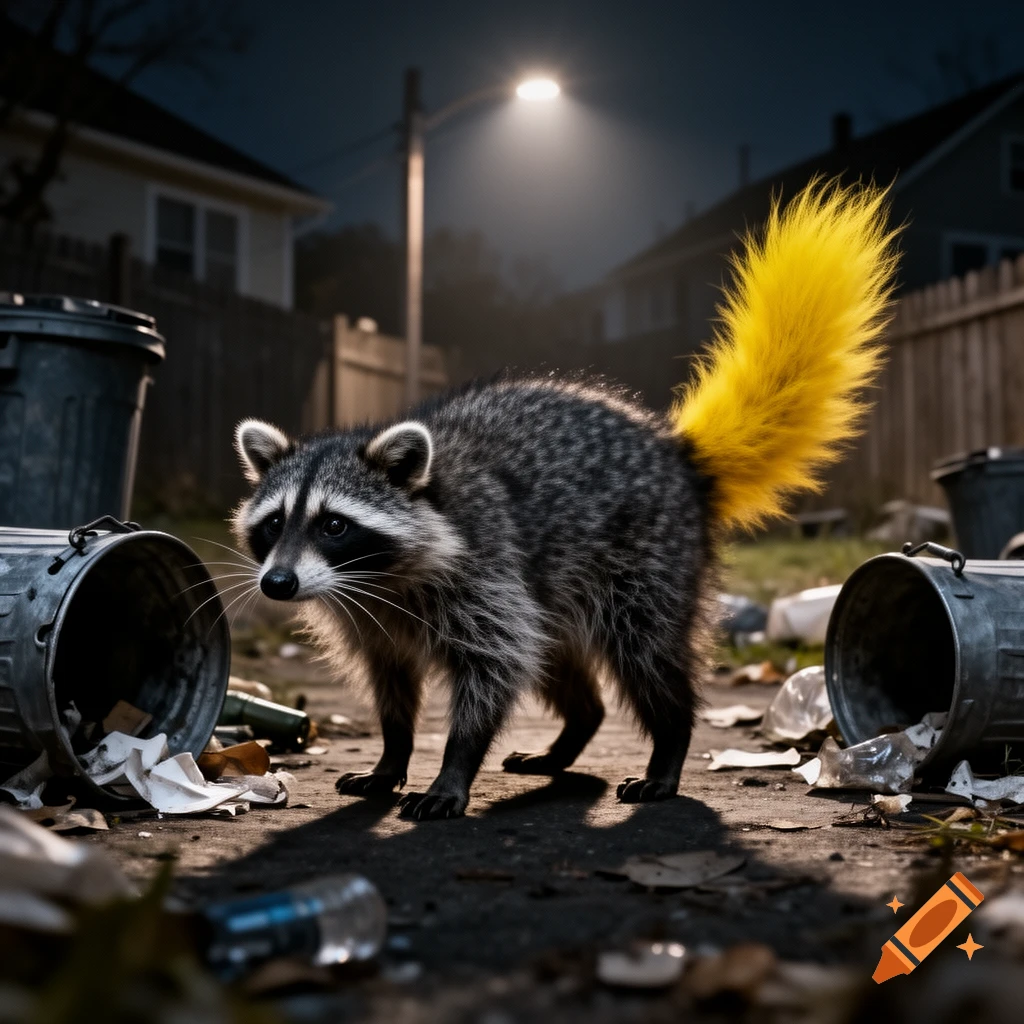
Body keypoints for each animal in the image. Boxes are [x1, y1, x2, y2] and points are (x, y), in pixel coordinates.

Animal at [231, 180, 898, 821]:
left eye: (333, 524)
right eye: (274, 524)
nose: (278, 584)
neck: (382, 576)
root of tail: (679, 453)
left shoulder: (483, 570)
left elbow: (496, 667)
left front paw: (454, 766)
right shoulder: (374, 619)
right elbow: (393, 687)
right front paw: (392, 754)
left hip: (646, 560)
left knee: (644, 653)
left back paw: (670, 742)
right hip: (559, 589)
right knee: (562, 666)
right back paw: (573, 732)